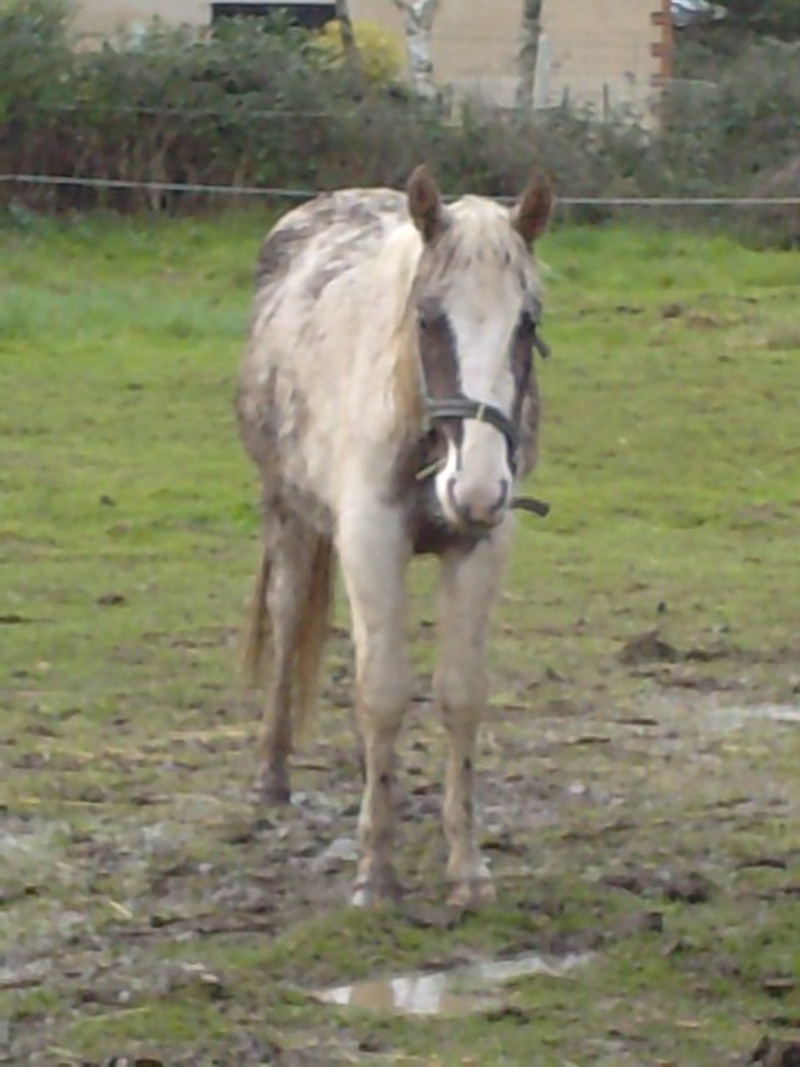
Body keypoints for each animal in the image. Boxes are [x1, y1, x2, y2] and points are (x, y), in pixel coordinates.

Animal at [234, 166, 554, 909]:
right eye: (428, 318)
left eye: (526, 323)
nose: (478, 488)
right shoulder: (371, 542)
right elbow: (380, 692)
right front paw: (375, 872)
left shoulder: (480, 548)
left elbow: (459, 694)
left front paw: (467, 869)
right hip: (288, 512)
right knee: (288, 626)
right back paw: (273, 775)